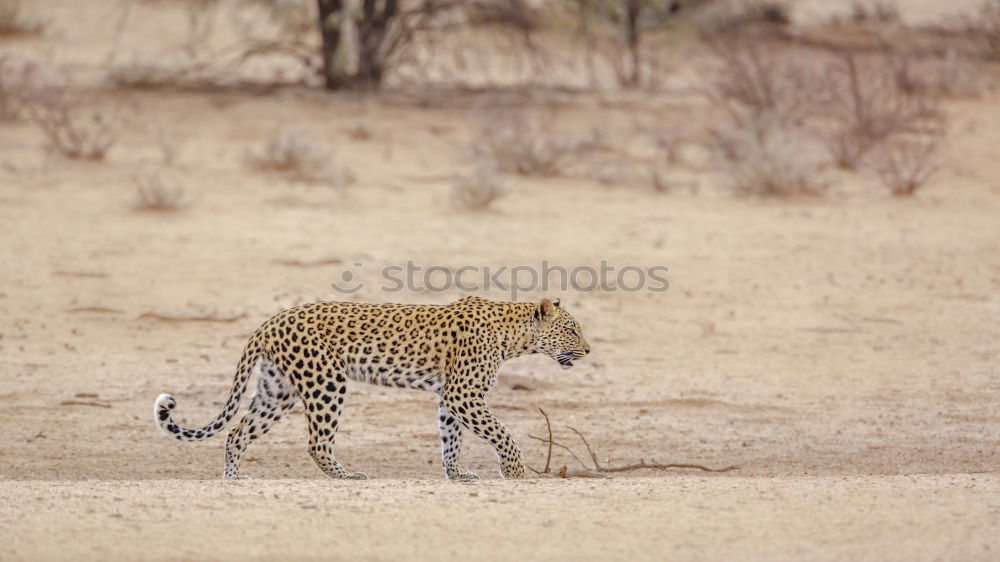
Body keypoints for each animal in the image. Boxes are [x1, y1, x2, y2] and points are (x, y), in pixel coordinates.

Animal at [153, 296, 588, 480]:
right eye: (572, 329)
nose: (587, 350)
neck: (514, 335)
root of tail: (270, 320)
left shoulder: (450, 397)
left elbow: (450, 439)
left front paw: (457, 474)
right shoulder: (463, 395)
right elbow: (502, 433)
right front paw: (514, 471)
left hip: (277, 390)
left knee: (238, 432)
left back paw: (232, 479)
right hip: (326, 382)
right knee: (316, 442)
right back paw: (347, 476)